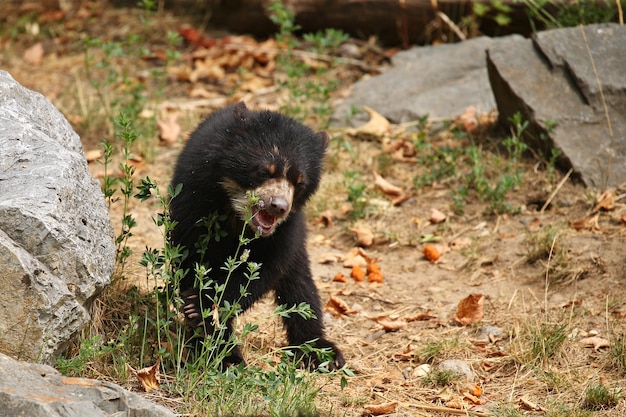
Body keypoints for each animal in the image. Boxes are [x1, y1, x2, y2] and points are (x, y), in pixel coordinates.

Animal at [168, 102, 344, 368]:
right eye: (264, 171)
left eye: (299, 182)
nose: (278, 206)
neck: (236, 212)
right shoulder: (194, 194)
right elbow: (189, 255)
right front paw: (216, 346)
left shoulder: (287, 227)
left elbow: (267, 266)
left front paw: (202, 307)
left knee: (300, 286)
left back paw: (320, 351)